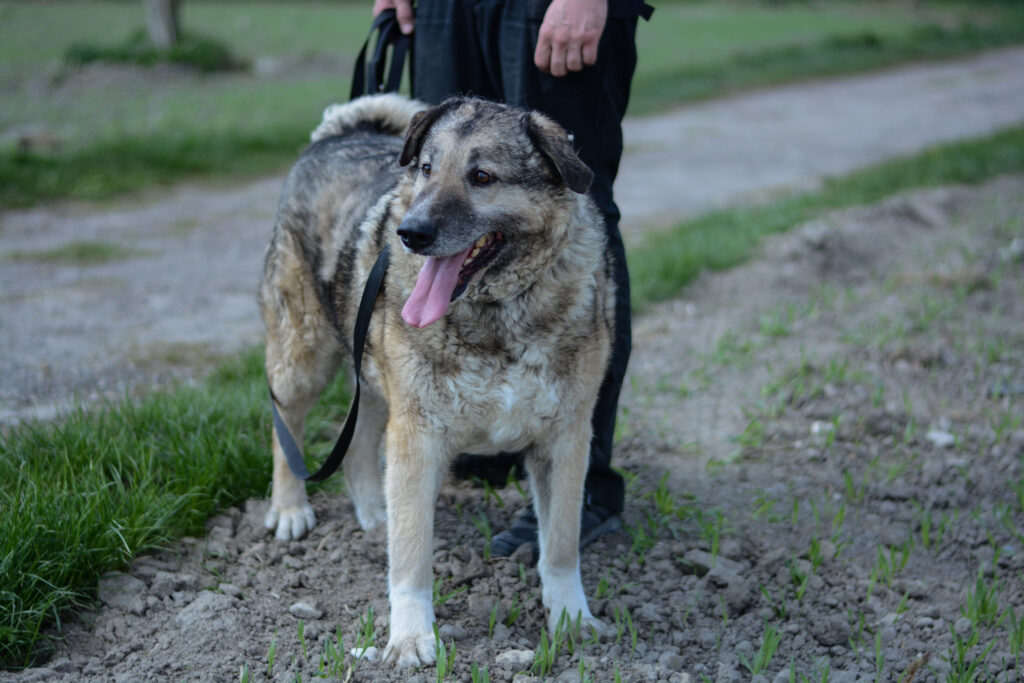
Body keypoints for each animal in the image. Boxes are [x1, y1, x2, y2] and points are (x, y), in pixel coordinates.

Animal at [260, 93, 618, 663]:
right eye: (427, 169)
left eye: (482, 176)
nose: (410, 233)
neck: (497, 311)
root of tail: (338, 133)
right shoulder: (418, 436)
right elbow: (411, 558)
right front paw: (409, 640)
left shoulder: (565, 440)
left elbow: (560, 546)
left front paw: (572, 621)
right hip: (303, 357)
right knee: (285, 423)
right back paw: (290, 508)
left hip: (371, 375)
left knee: (359, 441)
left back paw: (374, 512)